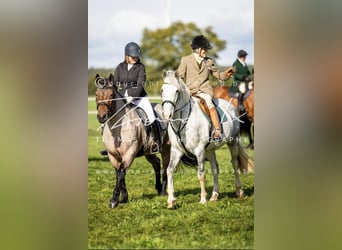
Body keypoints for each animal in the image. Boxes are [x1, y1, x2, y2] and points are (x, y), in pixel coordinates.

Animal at [94, 73, 170, 208]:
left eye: (111, 95)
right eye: (96, 94)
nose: (102, 117)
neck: (117, 129)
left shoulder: (129, 153)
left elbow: (121, 172)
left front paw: (114, 200)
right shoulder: (113, 155)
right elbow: (118, 173)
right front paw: (124, 198)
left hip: (166, 148)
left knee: (165, 167)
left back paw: (162, 191)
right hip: (148, 151)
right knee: (156, 163)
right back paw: (158, 187)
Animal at [161, 69, 254, 208]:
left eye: (176, 91)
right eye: (162, 90)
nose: (167, 115)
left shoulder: (199, 151)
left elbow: (201, 174)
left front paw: (203, 199)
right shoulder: (176, 151)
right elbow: (169, 171)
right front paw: (171, 200)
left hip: (232, 143)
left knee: (235, 164)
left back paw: (239, 191)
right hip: (210, 151)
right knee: (215, 168)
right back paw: (214, 195)